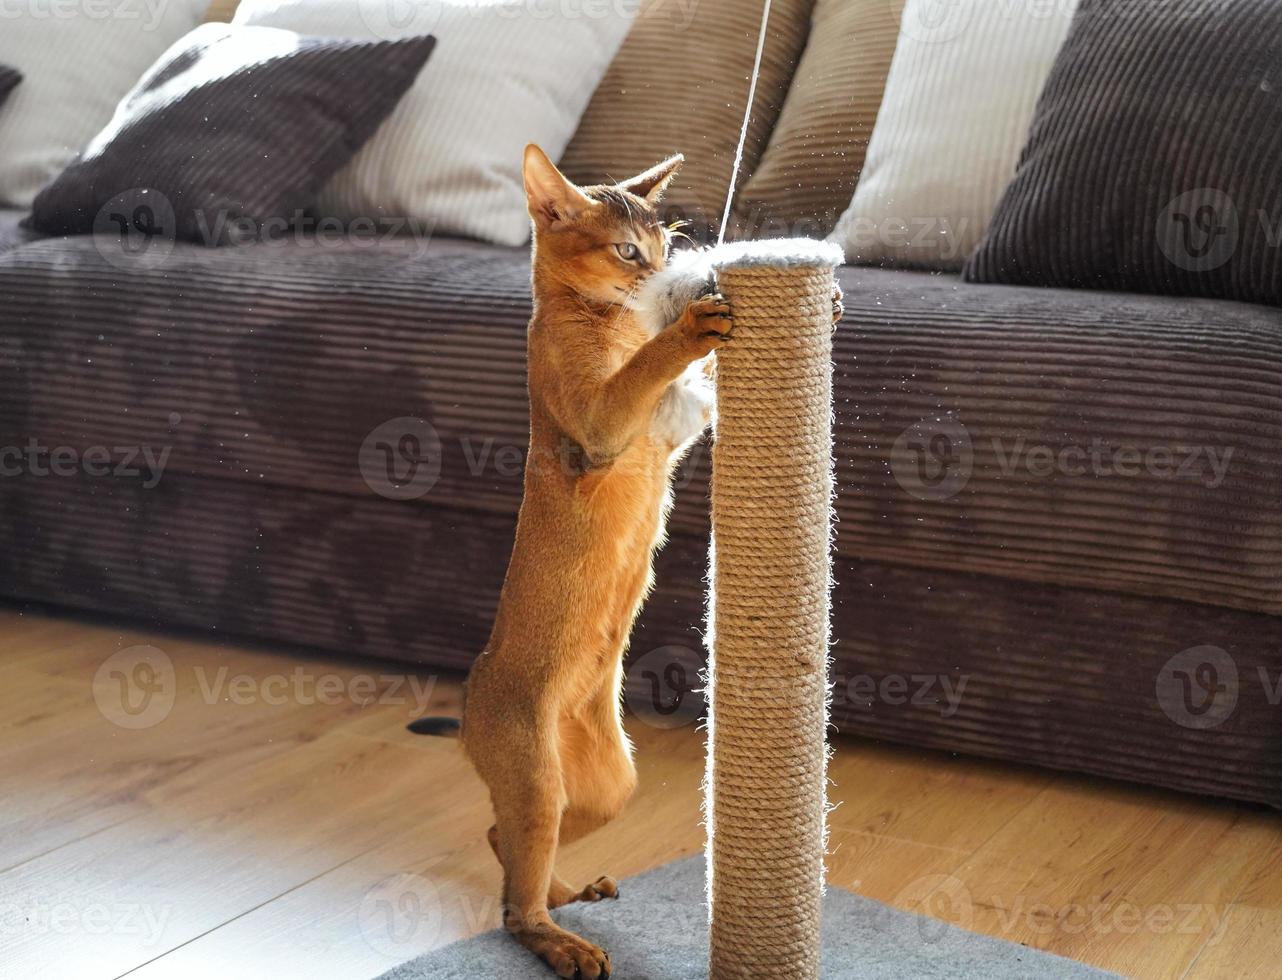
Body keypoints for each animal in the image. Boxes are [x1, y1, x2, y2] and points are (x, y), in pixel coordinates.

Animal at [458, 141, 733, 974]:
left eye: (665, 247)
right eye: (626, 251)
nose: (665, 277)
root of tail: (467, 709)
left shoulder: (669, 428)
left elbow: (690, 387)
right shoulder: (602, 427)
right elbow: (648, 366)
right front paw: (689, 324)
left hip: (613, 783)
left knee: (509, 846)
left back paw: (569, 891)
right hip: (536, 775)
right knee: (513, 906)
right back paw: (564, 943)